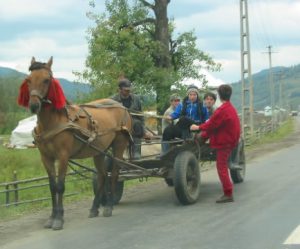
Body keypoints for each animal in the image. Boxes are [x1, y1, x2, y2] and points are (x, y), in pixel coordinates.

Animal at [17, 56, 132, 230]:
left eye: (46, 80)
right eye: (28, 80)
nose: (34, 105)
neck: (53, 122)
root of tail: (122, 106)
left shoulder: (63, 156)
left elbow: (60, 186)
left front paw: (59, 218)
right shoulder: (46, 158)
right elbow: (52, 186)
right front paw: (51, 217)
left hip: (119, 146)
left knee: (114, 175)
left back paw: (109, 206)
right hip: (99, 151)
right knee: (102, 175)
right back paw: (94, 208)